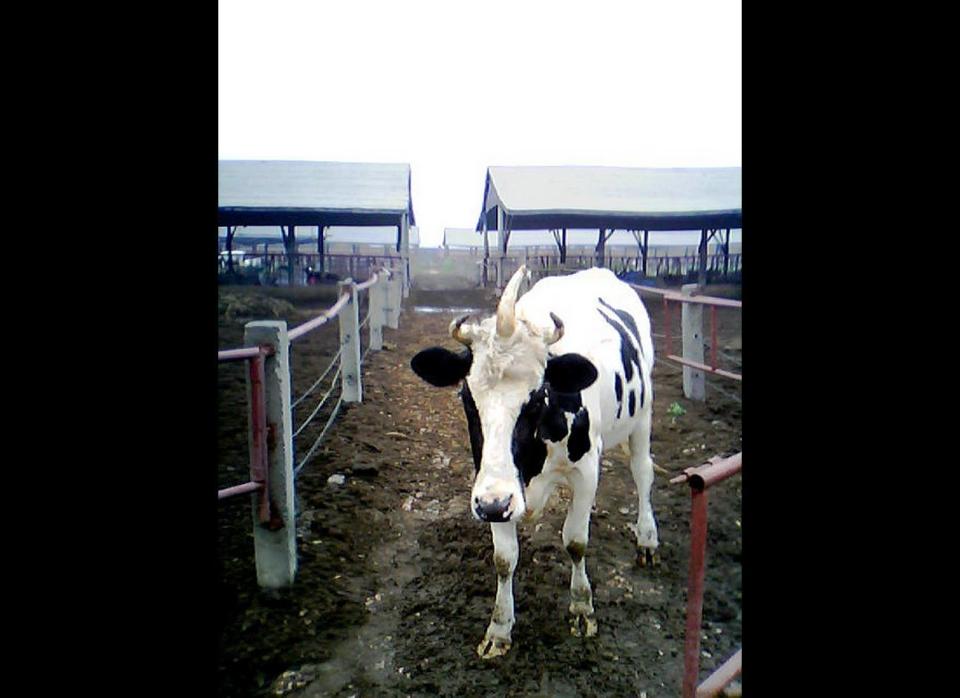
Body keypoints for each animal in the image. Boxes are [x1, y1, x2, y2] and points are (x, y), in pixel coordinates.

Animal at [408, 264, 656, 656]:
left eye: (538, 396)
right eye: (466, 397)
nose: (493, 506)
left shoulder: (586, 471)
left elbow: (575, 541)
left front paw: (582, 607)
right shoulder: (494, 488)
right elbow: (504, 558)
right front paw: (499, 627)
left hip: (643, 413)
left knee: (643, 472)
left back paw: (647, 538)